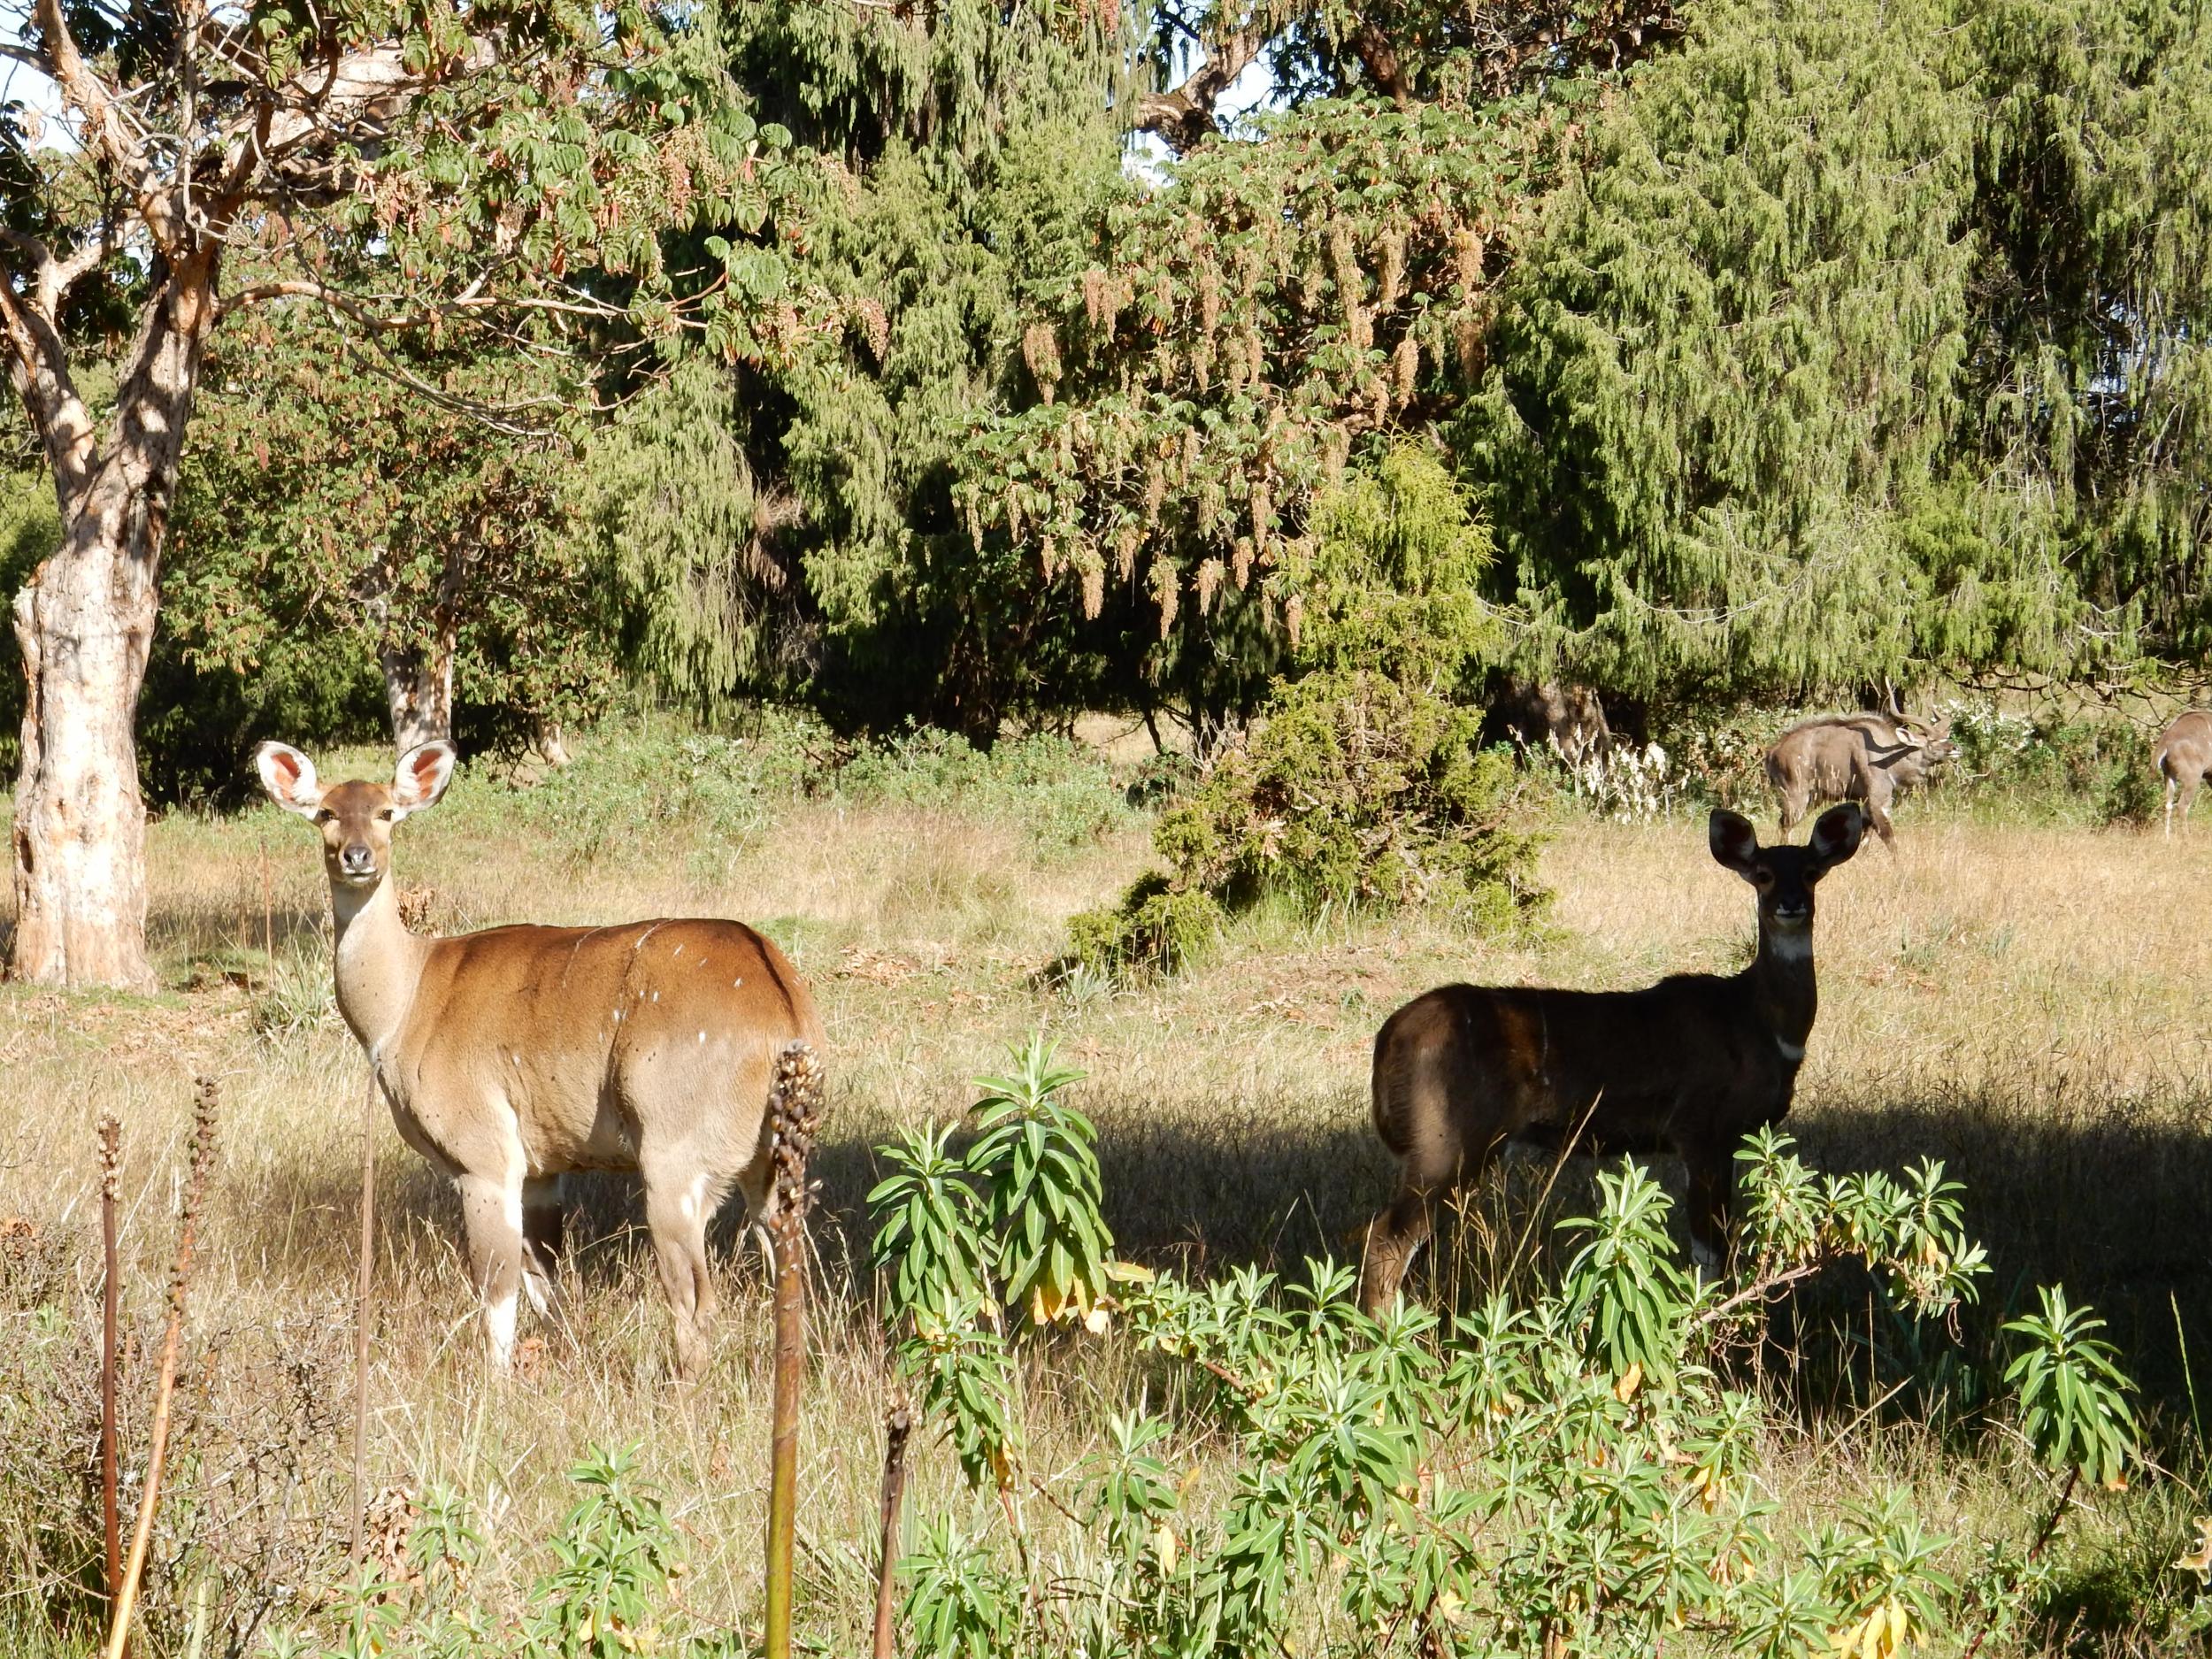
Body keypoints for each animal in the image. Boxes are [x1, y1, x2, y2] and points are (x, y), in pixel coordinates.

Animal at [250, 739, 823, 1380]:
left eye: (386, 812)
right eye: (325, 812)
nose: (357, 855)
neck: (405, 1005)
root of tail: (785, 1014)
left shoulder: (485, 1154)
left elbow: (496, 1287)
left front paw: (496, 1388)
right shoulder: (544, 1166)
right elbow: (545, 1282)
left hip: (675, 1155)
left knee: (697, 1297)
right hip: (769, 1166)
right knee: (790, 1271)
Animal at [1354, 801, 1858, 1318]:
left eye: (1812, 872)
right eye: (1762, 875)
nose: (1791, 904)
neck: (1761, 1024)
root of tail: (1391, 1035)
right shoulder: (1698, 1128)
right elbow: (1708, 1252)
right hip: (1448, 1139)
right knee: (1385, 1238)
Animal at [2159, 717, 2212, 845]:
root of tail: (2165, 743)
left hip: (2169, 776)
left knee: (2168, 804)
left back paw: (2167, 839)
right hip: (2192, 779)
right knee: (2182, 805)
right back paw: (2188, 839)